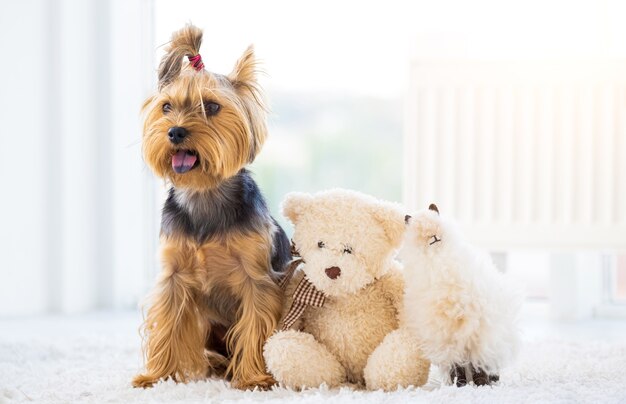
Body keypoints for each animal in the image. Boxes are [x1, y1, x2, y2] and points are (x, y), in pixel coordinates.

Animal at [134, 23, 290, 390]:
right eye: (166, 107)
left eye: (212, 106)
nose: (175, 132)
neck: (204, 193)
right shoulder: (173, 276)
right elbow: (166, 325)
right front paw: (156, 376)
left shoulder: (256, 277)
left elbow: (255, 324)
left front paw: (253, 378)